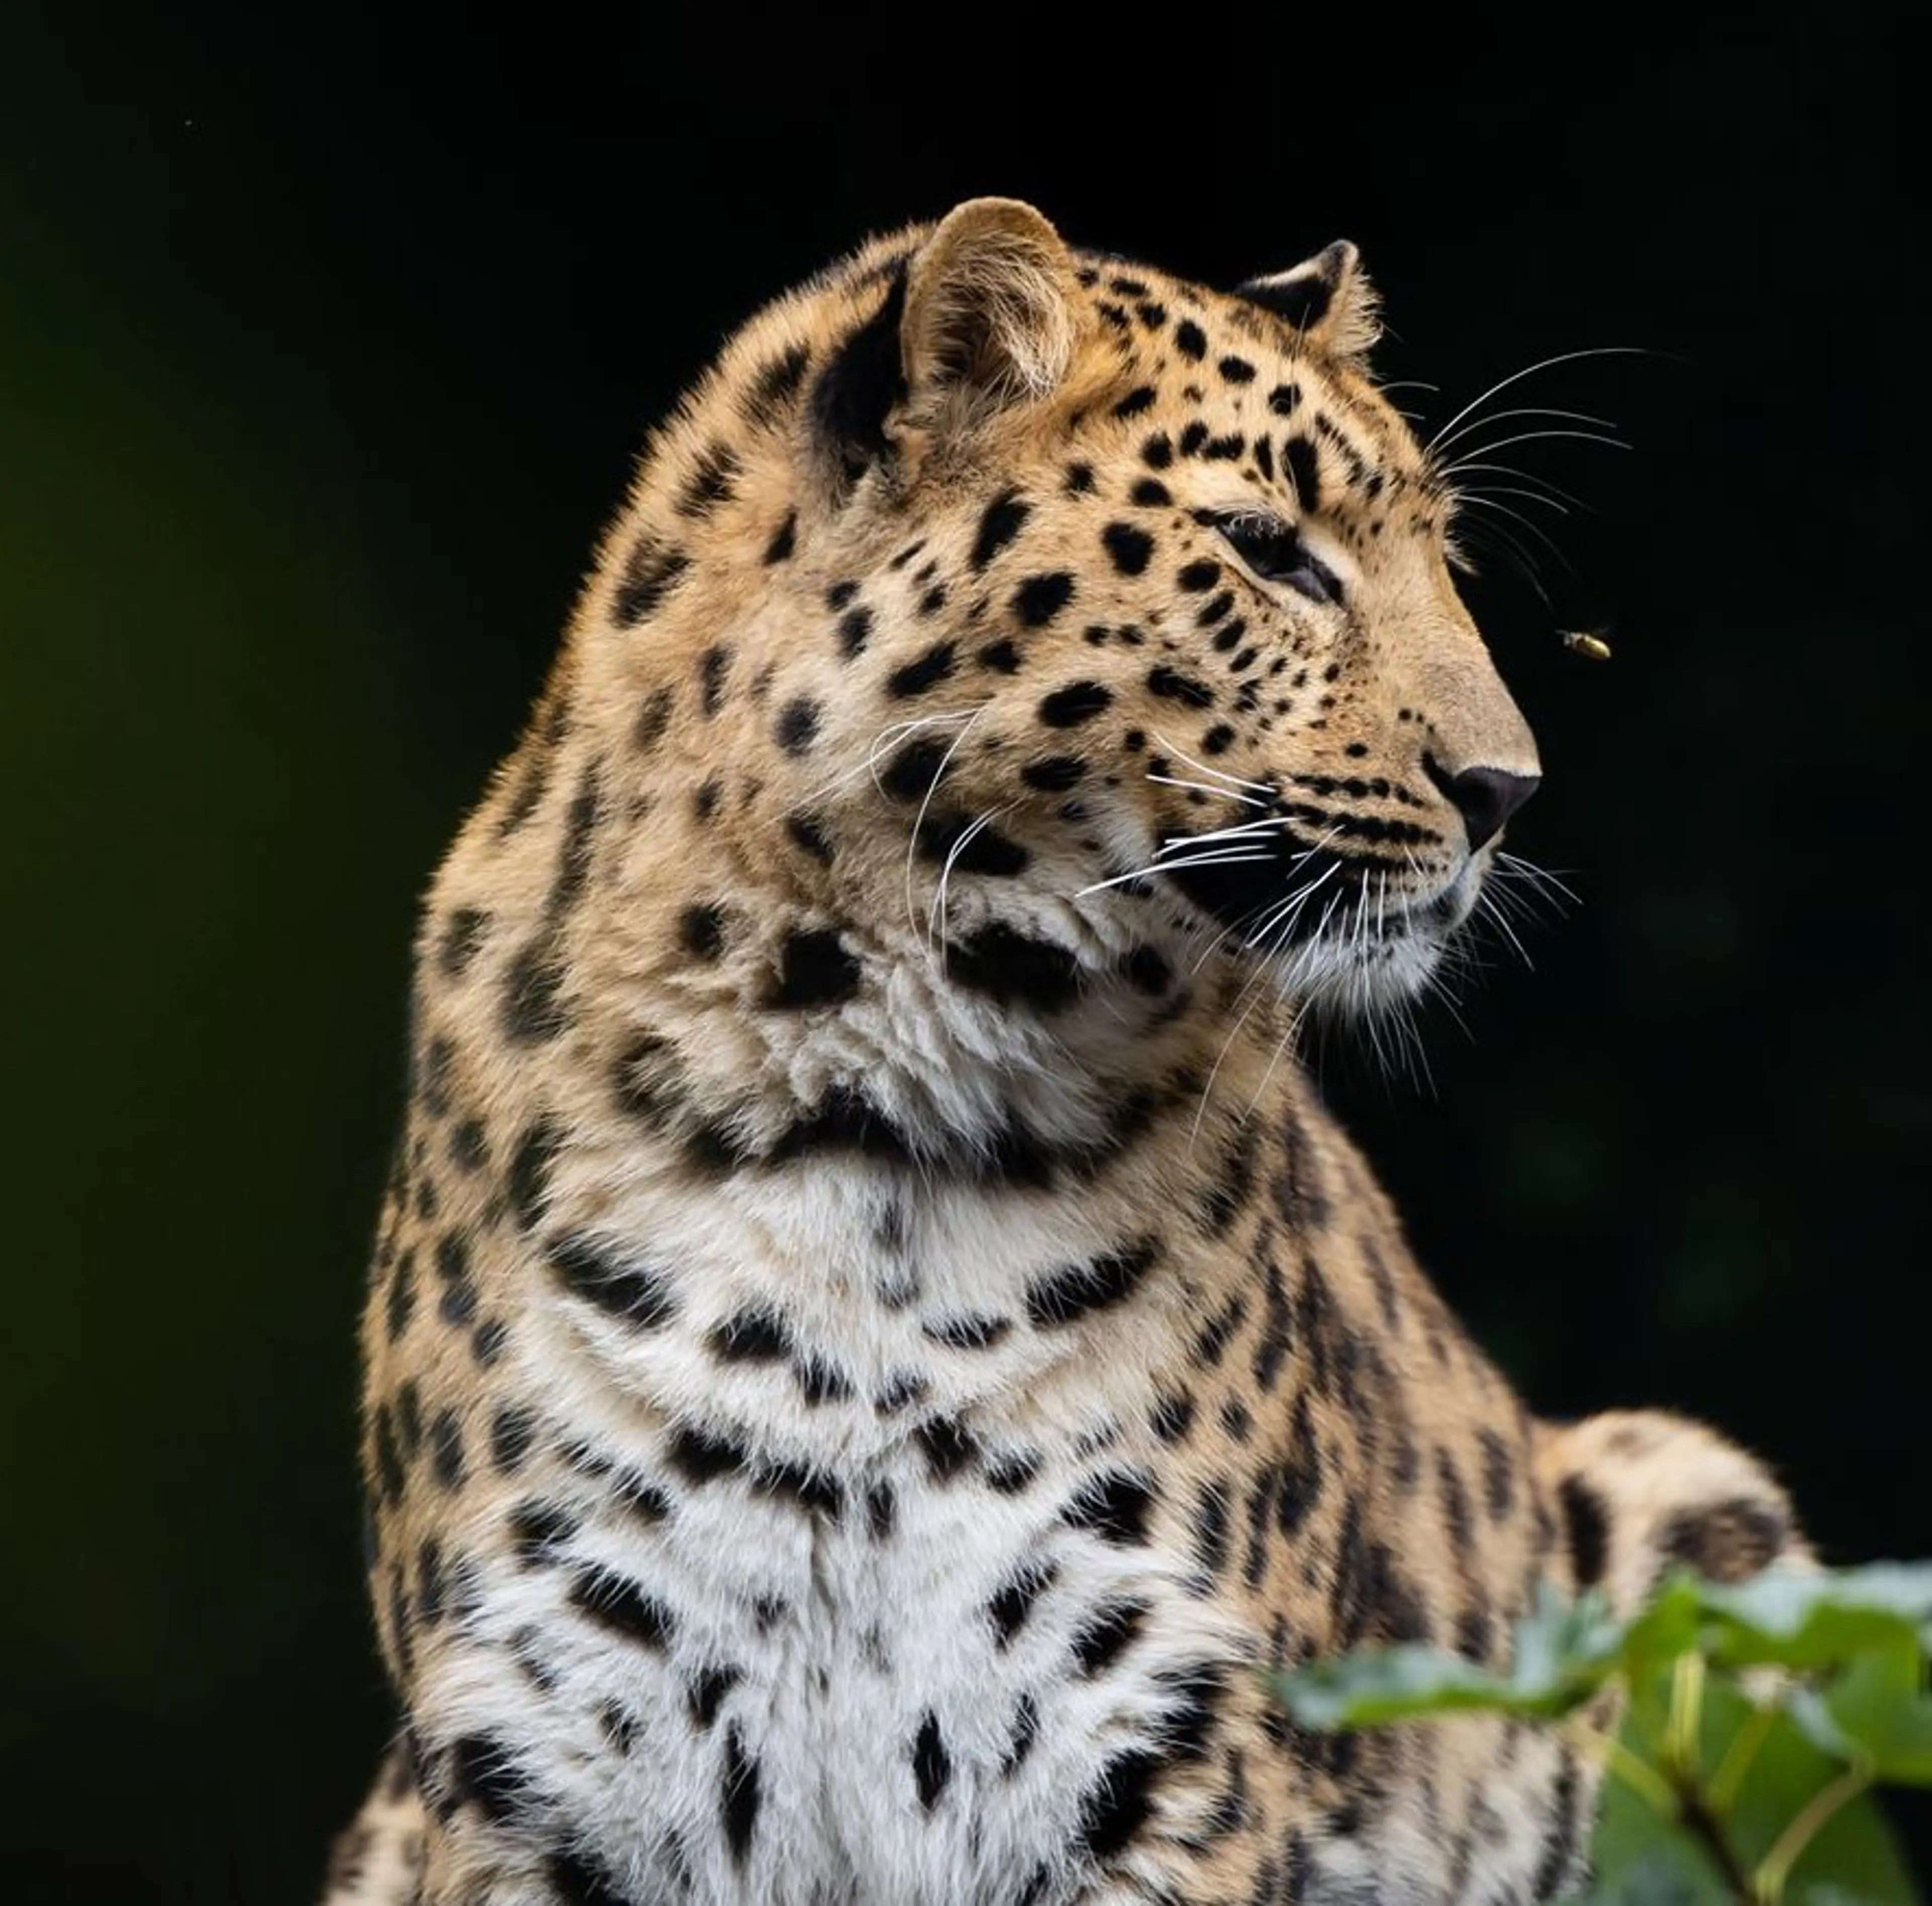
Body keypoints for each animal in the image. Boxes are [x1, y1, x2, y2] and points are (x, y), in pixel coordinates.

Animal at [323, 198, 1805, 1906]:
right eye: (1269, 552)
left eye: (1440, 555)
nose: (1507, 789)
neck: (852, 1095)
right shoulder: (550, 1733)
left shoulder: (1142, 1729)